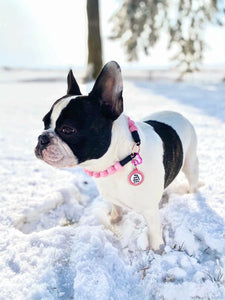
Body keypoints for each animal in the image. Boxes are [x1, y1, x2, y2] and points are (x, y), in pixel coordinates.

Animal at [35, 61, 199, 251]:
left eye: (67, 130)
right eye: (44, 123)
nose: (42, 138)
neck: (118, 161)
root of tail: (176, 113)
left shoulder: (150, 212)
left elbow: (155, 236)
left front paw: (158, 251)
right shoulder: (114, 197)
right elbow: (116, 209)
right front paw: (114, 220)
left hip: (191, 163)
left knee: (193, 180)